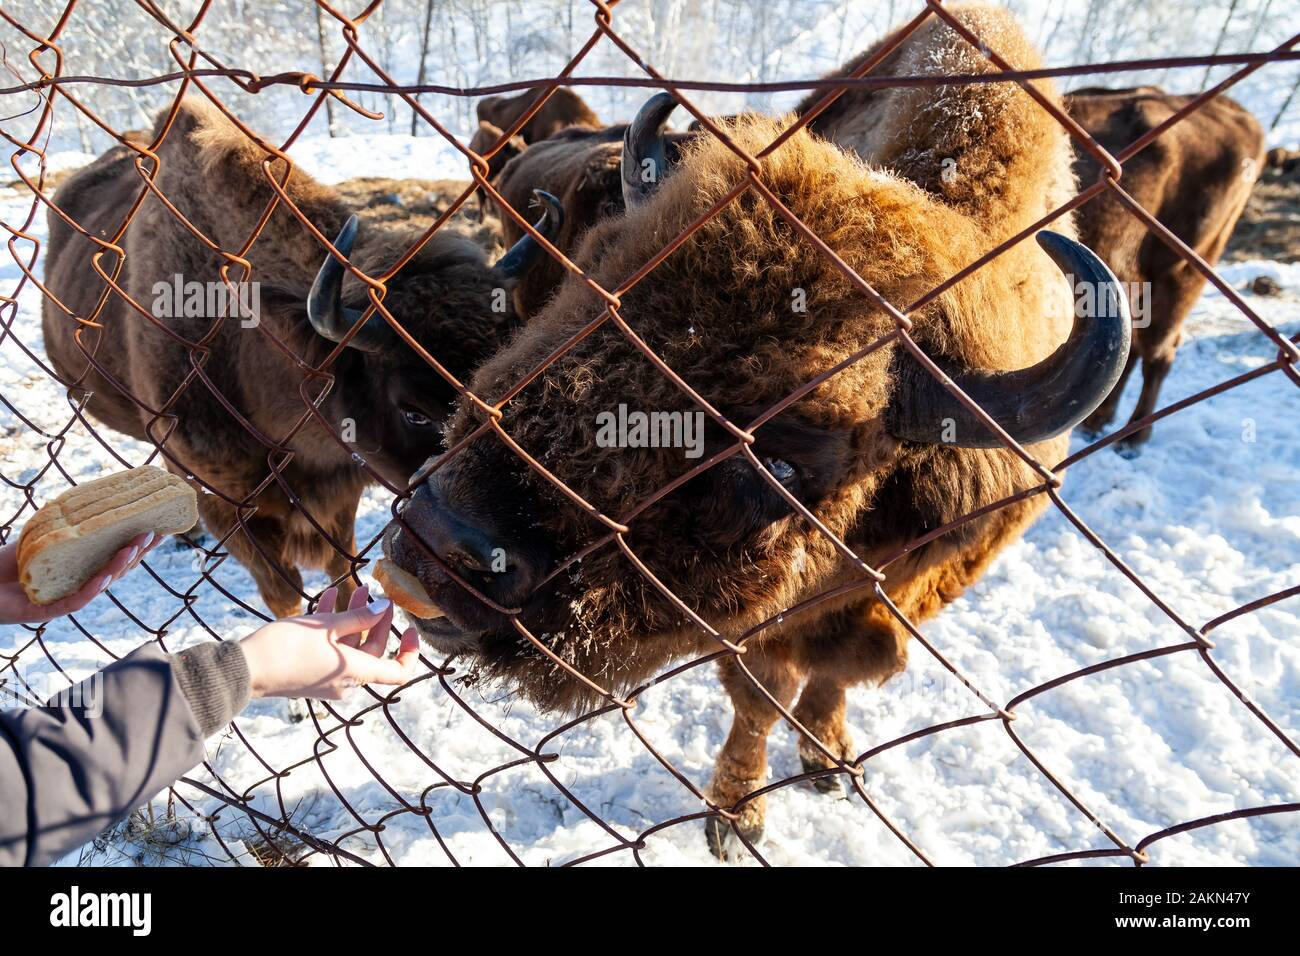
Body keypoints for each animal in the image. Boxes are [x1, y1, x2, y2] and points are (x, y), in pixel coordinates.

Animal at [382, 5, 1128, 858]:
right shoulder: (756, 633)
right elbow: (761, 695)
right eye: (593, 283)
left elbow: (835, 673)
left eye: (785, 460)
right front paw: (738, 816)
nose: (437, 542)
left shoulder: (910, 591)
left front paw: (828, 761)